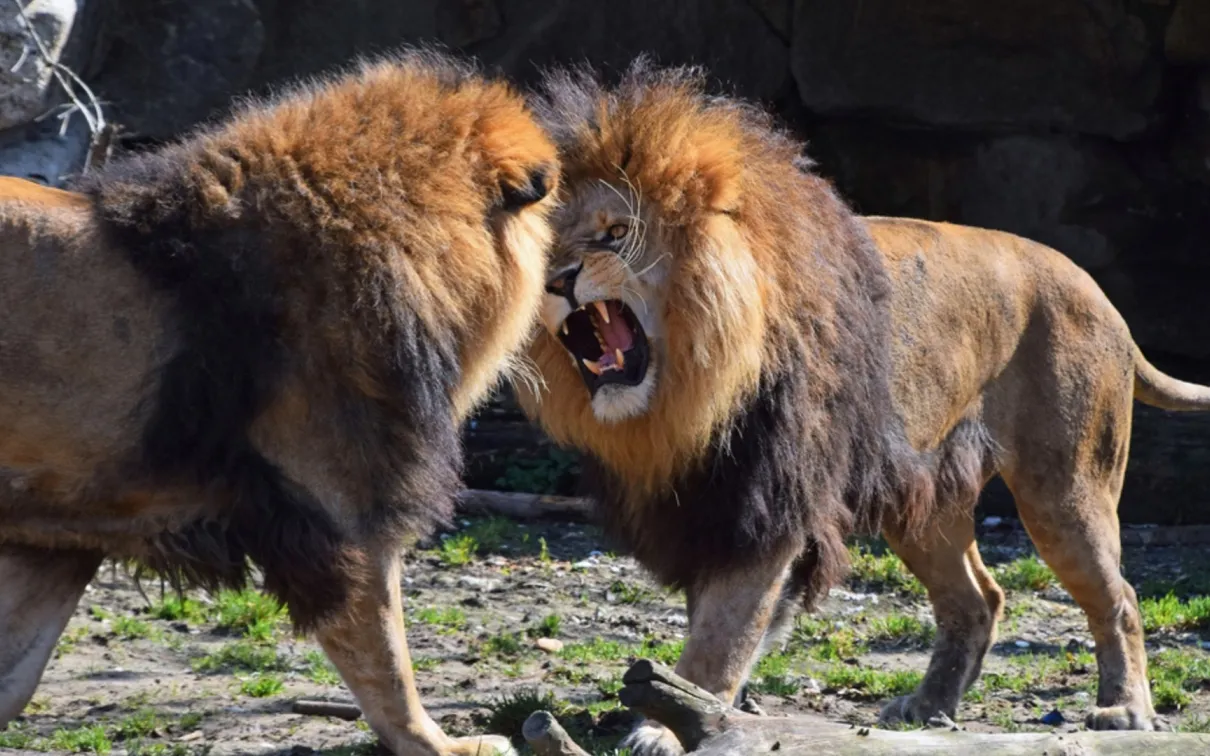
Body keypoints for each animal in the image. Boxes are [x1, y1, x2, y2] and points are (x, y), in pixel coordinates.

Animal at [515, 60, 1210, 754]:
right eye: (548, 243)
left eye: (615, 234)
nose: (557, 281)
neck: (685, 399)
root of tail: (1100, 294)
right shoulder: (712, 507)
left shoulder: (767, 507)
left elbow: (721, 637)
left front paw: (667, 723)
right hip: (925, 498)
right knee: (978, 599)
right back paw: (928, 707)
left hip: (1064, 488)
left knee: (1119, 596)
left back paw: (1125, 711)